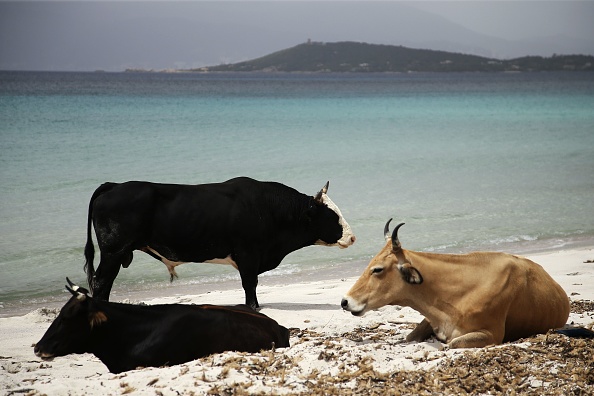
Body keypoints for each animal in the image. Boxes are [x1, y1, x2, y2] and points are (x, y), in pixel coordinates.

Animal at [82, 176, 352, 310]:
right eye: (332, 215)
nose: (352, 237)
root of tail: (114, 185)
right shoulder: (248, 254)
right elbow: (250, 283)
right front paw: (253, 307)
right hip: (113, 251)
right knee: (101, 282)